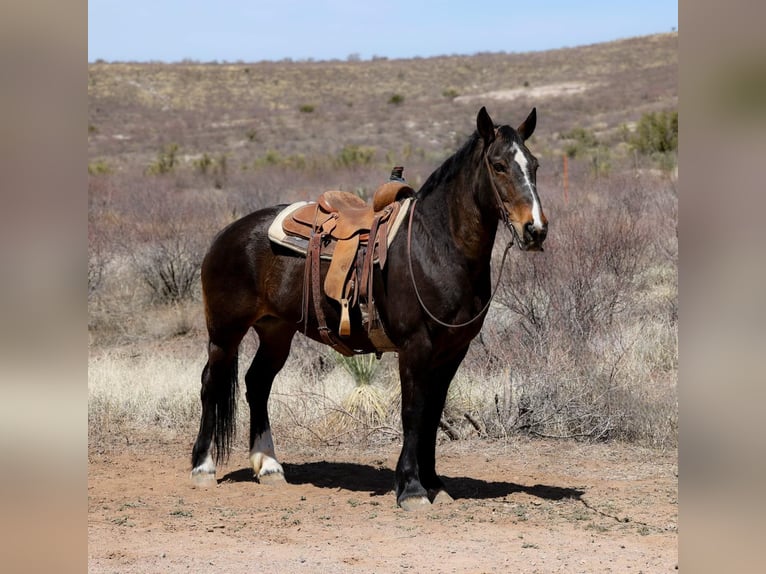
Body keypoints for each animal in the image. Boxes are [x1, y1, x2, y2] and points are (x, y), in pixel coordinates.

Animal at [190, 107, 548, 510]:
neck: (434, 245)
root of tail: (226, 234)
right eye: (499, 165)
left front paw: (434, 482)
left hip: (275, 331)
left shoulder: (453, 350)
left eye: (534, 165)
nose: (535, 230)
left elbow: (433, 412)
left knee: (257, 383)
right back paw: (203, 467)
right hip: (225, 332)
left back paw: (268, 466)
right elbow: (413, 412)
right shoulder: (415, 346)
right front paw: (411, 488)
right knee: (210, 383)